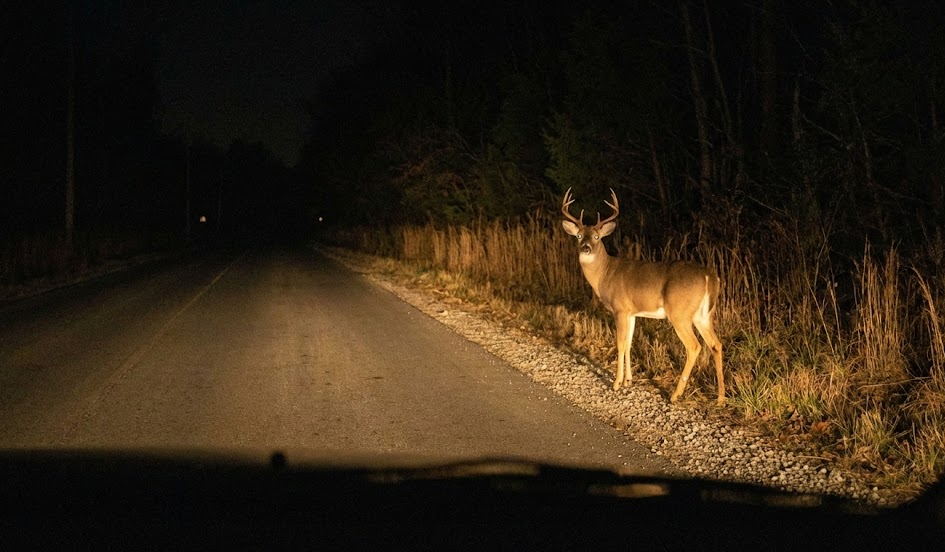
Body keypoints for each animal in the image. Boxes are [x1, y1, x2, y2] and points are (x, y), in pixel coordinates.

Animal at [560, 188, 725, 405]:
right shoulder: (632, 313)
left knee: (694, 346)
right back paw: (721, 398)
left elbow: (620, 344)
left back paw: (675, 395)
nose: (586, 247)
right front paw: (628, 380)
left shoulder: (620, 309)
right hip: (703, 315)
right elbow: (629, 343)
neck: (605, 273)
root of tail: (709, 277)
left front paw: (616, 383)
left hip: (679, 313)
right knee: (716, 344)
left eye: (596, 236)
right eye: (579, 235)